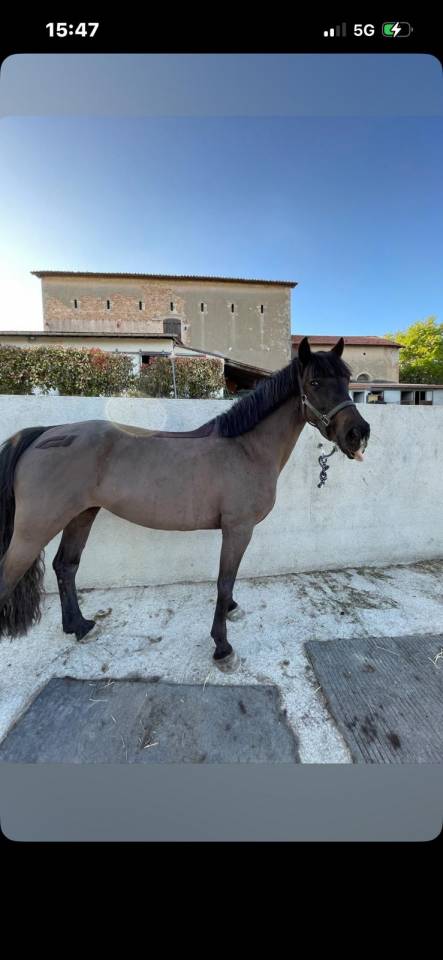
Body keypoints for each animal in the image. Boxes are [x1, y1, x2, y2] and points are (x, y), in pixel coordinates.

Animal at [0, 336, 370, 671]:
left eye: (346, 380)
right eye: (315, 382)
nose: (358, 434)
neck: (246, 448)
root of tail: (45, 434)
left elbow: (227, 582)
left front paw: (231, 610)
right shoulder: (238, 529)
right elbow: (224, 580)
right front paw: (222, 647)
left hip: (81, 515)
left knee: (66, 566)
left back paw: (80, 626)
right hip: (36, 529)